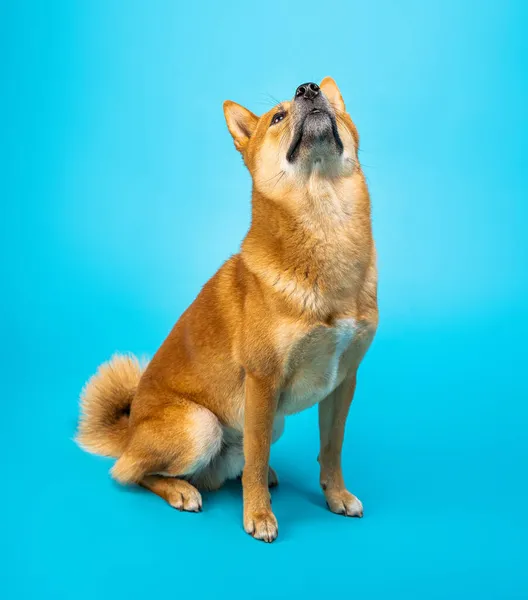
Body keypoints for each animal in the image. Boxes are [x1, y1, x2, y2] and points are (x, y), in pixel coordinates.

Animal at [77, 76, 376, 544]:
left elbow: (331, 450)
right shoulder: (262, 381)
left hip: (268, 422)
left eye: (330, 104)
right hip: (202, 425)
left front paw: (337, 496)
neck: (324, 221)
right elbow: (255, 458)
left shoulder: (344, 382)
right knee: (132, 473)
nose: (309, 88)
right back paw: (181, 490)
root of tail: (129, 433)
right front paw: (258, 515)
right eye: (278, 116)